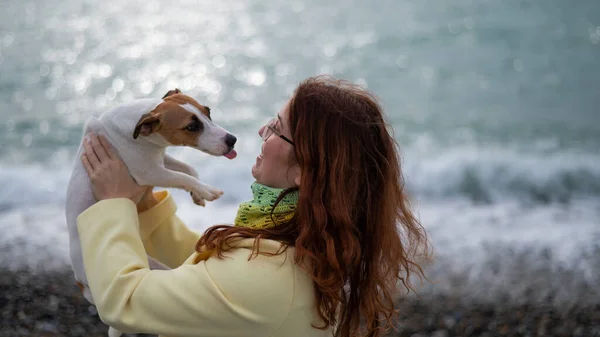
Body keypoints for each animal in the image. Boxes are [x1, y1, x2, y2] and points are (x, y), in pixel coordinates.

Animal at [63, 88, 237, 334]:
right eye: (192, 126)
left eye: (208, 112)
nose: (232, 140)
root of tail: (80, 283)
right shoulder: (150, 172)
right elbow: (182, 177)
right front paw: (205, 190)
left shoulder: (161, 159)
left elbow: (188, 169)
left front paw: (197, 193)